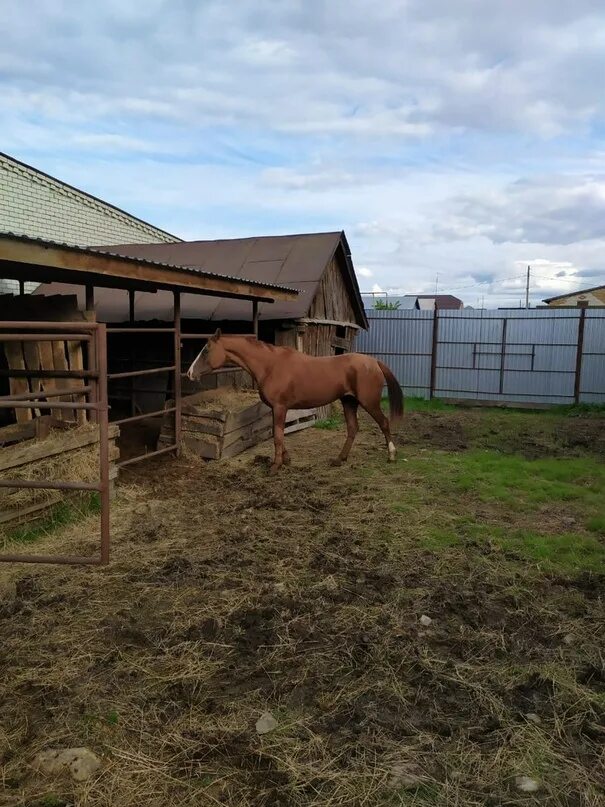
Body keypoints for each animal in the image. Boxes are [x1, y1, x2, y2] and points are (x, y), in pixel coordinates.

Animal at [186, 332, 404, 476]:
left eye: (206, 351)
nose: (189, 373)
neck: (270, 365)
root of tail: (374, 362)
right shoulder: (275, 409)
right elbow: (277, 434)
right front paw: (286, 460)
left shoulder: (280, 407)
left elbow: (277, 436)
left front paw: (275, 466)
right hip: (349, 401)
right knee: (352, 428)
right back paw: (339, 459)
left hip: (369, 402)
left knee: (384, 423)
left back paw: (391, 456)